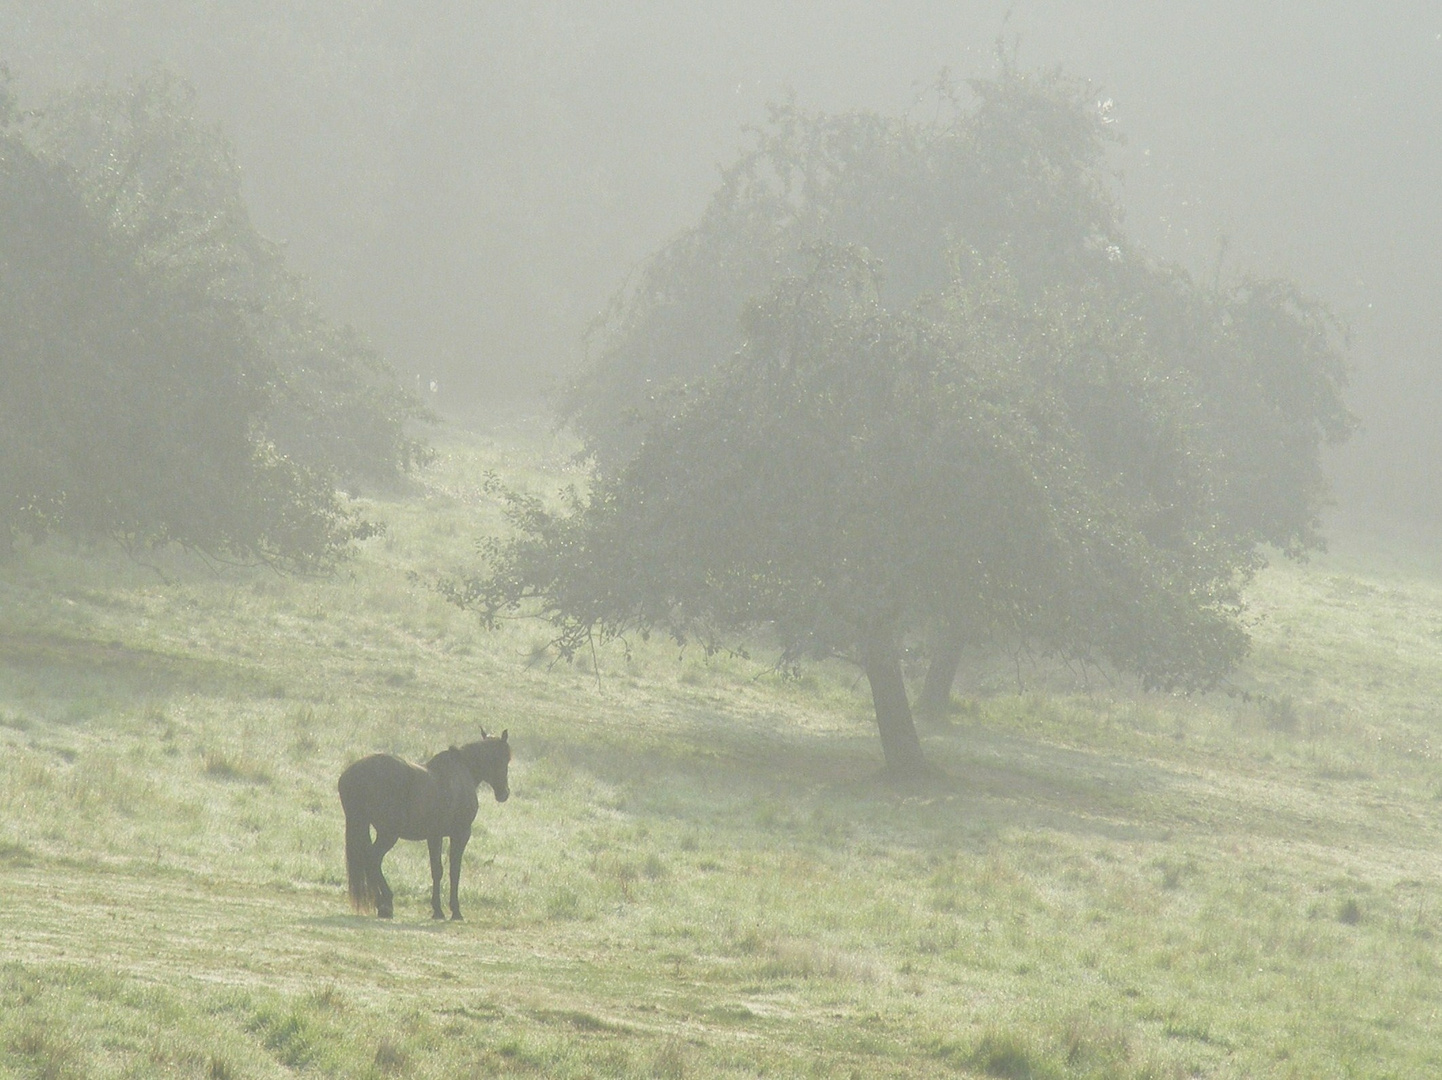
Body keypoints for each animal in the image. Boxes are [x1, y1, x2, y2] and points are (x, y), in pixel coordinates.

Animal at [338, 723, 513, 917]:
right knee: (372, 859)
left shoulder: (434, 836)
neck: (462, 772)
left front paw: (437, 909)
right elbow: (454, 870)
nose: (504, 793)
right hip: (388, 834)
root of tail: (352, 775)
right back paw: (385, 903)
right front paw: (454, 910)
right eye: (505, 759)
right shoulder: (460, 834)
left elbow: (436, 870)